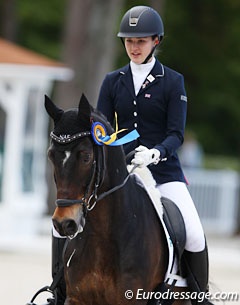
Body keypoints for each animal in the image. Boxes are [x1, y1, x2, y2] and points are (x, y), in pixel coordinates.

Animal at [45, 94, 189, 304]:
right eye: (51, 156)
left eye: (86, 156)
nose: (64, 223)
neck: (102, 236)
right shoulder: (76, 298)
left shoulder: (131, 299)